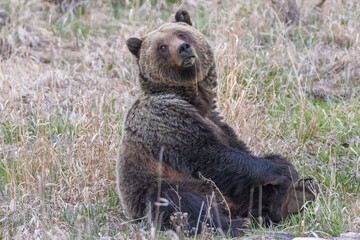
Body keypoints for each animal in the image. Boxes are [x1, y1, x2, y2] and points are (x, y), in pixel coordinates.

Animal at [117, 8, 316, 234]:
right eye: (162, 46)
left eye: (181, 34)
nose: (183, 48)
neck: (193, 100)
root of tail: (232, 207)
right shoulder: (166, 120)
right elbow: (211, 155)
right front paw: (281, 168)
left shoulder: (218, 122)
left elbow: (241, 151)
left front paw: (284, 167)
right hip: (171, 188)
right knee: (176, 199)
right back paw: (235, 224)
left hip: (233, 194)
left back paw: (295, 197)